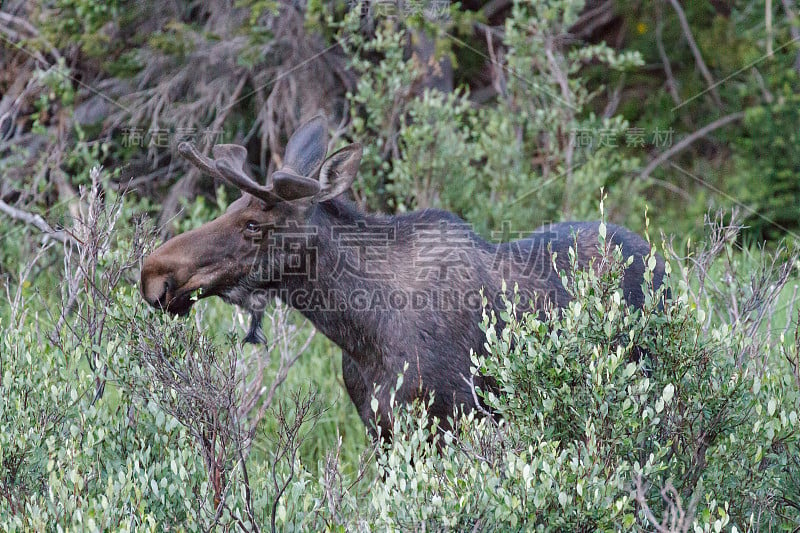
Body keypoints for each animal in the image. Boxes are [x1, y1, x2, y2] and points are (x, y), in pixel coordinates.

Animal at [141, 115, 664, 436]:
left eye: (253, 224)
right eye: (230, 207)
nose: (153, 274)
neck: (358, 331)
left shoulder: (457, 419)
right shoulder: (381, 429)